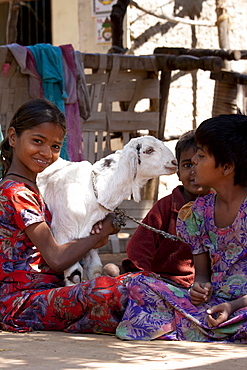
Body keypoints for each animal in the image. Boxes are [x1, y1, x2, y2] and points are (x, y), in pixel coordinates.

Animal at [36, 136, 177, 286]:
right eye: (149, 150)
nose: (174, 162)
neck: (93, 191)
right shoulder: (62, 235)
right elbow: (74, 275)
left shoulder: (89, 239)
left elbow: (95, 268)